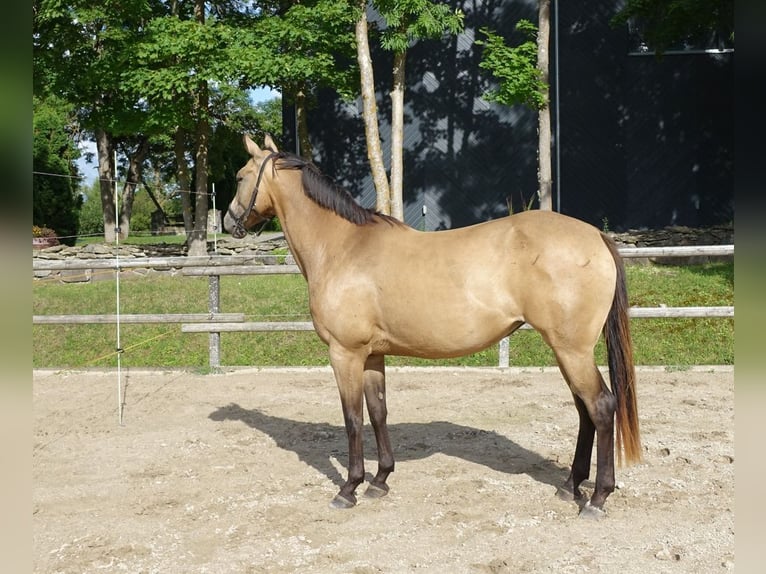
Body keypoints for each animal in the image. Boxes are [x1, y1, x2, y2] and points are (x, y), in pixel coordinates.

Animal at [224, 135, 640, 520]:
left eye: (240, 176)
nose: (229, 221)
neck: (343, 246)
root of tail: (596, 236)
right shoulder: (372, 355)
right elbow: (378, 412)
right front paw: (380, 480)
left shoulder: (345, 353)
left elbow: (353, 419)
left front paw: (349, 488)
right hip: (567, 351)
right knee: (584, 410)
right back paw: (570, 486)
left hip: (571, 350)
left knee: (601, 407)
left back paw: (597, 498)